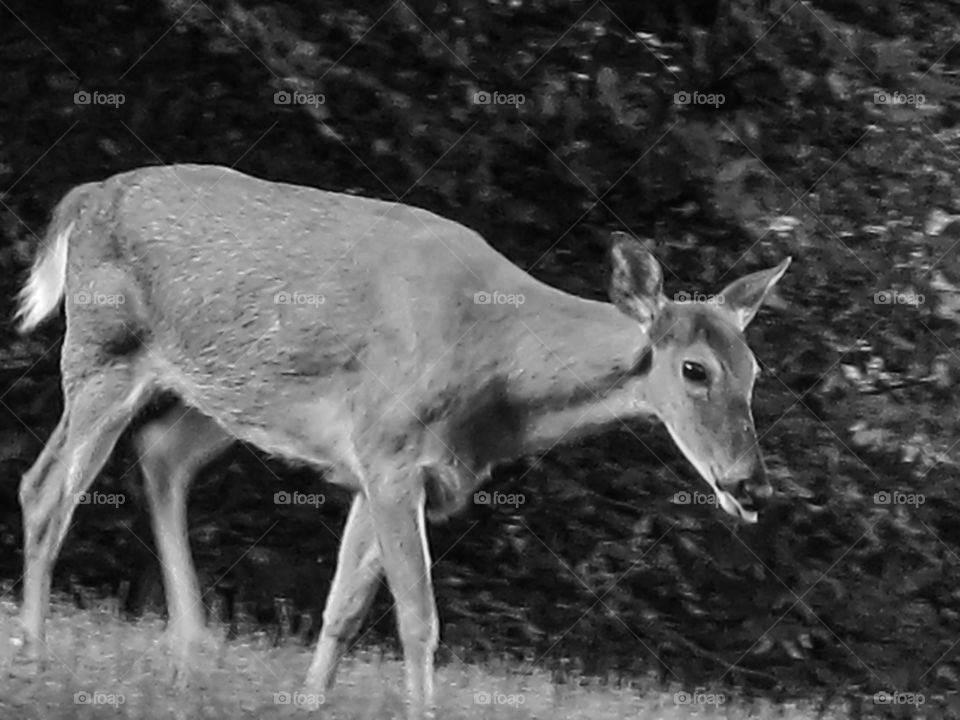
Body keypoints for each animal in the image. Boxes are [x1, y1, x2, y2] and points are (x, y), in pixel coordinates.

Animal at [15, 163, 789, 716]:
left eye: (755, 370)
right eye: (695, 369)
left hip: (221, 394)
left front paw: (308, 706)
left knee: (160, 454)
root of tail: (84, 197)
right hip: (105, 348)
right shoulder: (390, 452)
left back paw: (187, 660)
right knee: (46, 488)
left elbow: (343, 607)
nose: (750, 485)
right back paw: (35, 659)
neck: (496, 365)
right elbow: (419, 619)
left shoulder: (381, 464)